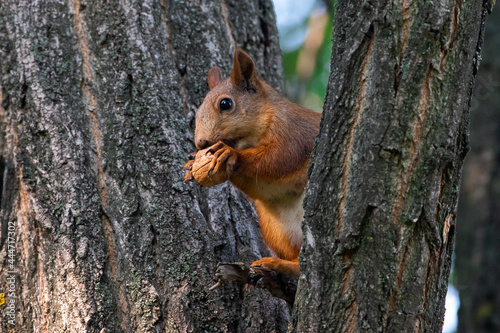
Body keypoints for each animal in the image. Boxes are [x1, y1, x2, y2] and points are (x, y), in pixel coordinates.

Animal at [184, 48, 320, 278]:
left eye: (225, 104)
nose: (201, 143)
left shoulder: (293, 134)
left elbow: (278, 159)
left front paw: (232, 154)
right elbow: (263, 188)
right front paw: (193, 164)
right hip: (277, 229)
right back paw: (282, 263)